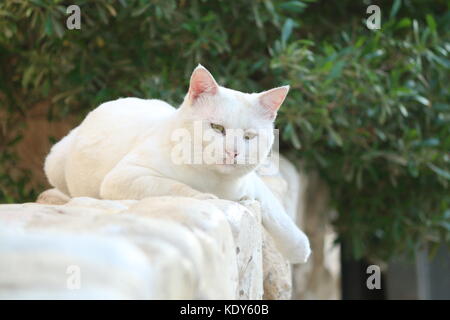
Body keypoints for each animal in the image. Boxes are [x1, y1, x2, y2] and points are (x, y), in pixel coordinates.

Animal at [45, 64, 312, 262]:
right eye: (216, 128)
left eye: (249, 137)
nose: (233, 152)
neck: (215, 179)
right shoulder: (123, 177)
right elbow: (174, 187)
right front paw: (204, 197)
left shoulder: (250, 181)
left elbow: (273, 208)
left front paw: (298, 246)